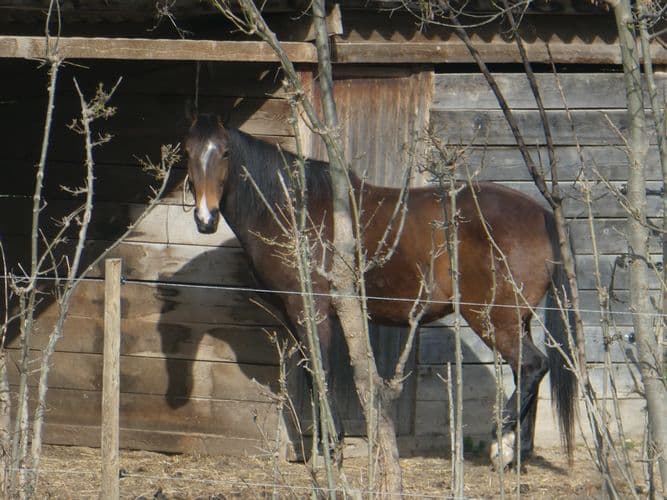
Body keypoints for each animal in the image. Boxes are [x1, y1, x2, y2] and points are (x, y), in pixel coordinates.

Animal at [183, 112, 577, 468]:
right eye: (187, 152)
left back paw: (501, 445)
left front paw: (330, 452)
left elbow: (321, 373)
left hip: (491, 317)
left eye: (225, 153)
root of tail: (541, 213)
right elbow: (314, 372)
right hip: (516, 319)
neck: (296, 210)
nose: (205, 218)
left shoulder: (312, 310)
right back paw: (516, 454)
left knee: (532, 366)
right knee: (527, 372)